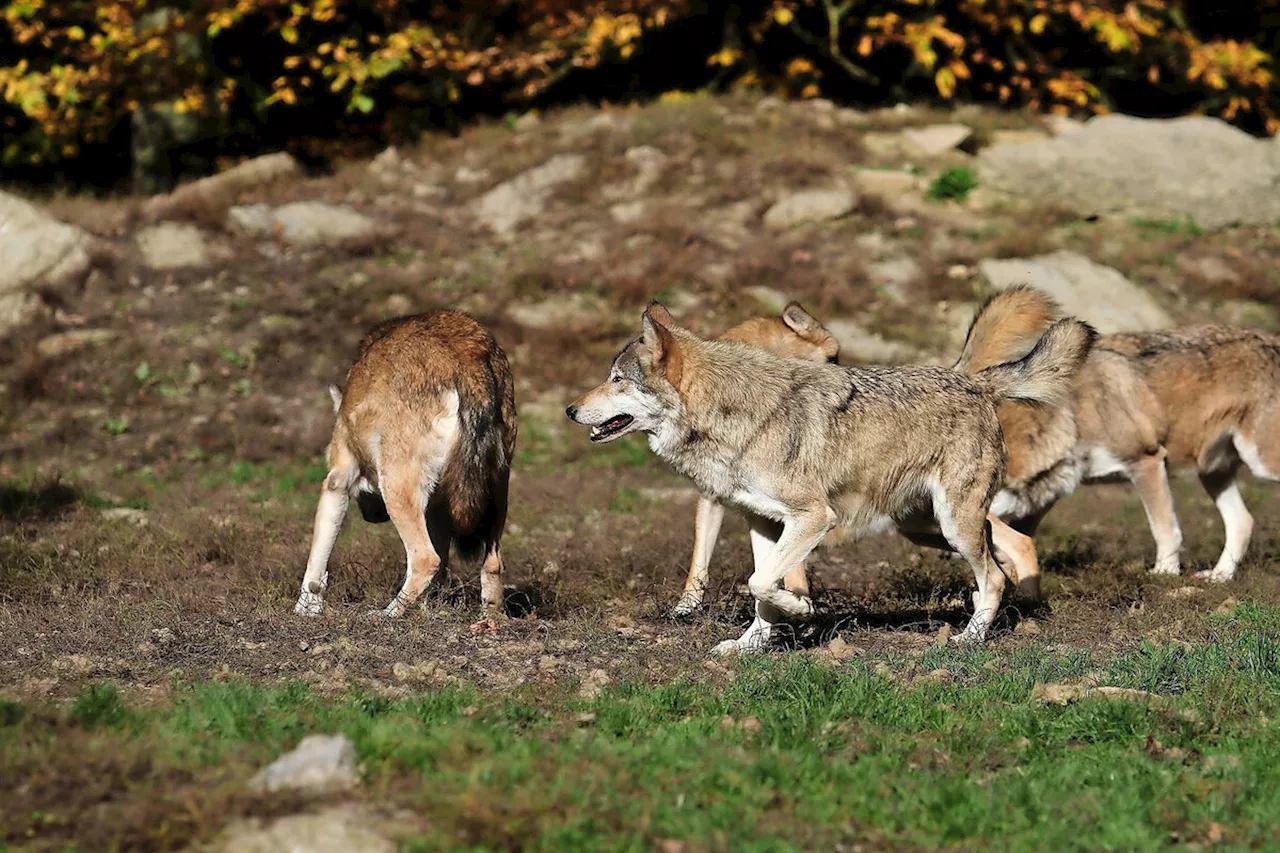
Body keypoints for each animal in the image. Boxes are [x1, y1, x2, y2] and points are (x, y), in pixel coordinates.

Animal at [296, 308, 517, 614]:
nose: (374, 518)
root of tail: (467, 358)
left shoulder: (337, 480)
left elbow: (315, 564)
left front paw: (305, 610)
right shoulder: (436, 509)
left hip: (396, 490)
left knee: (426, 560)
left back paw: (385, 615)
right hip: (496, 495)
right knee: (492, 565)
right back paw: (489, 618)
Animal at [962, 285, 1280, 578]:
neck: (1074, 416)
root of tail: (1273, 341)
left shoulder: (1146, 462)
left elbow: (1165, 531)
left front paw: (1164, 576)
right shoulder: (1049, 495)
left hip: (1259, 463)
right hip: (1213, 473)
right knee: (1243, 522)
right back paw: (1219, 577)